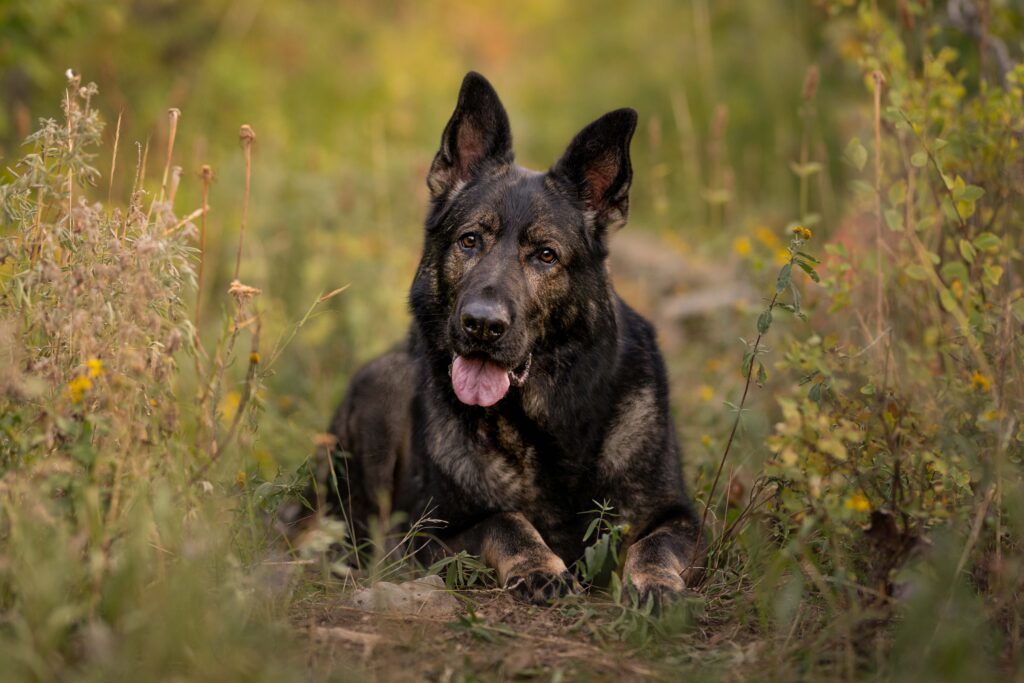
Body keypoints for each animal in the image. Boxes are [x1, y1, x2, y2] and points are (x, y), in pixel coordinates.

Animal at [284, 72, 708, 606]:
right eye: (470, 240)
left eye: (546, 255)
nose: (482, 325)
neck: (541, 425)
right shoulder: (427, 536)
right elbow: (503, 521)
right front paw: (539, 565)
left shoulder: (680, 516)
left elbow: (655, 543)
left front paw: (653, 582)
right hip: (385, 390)